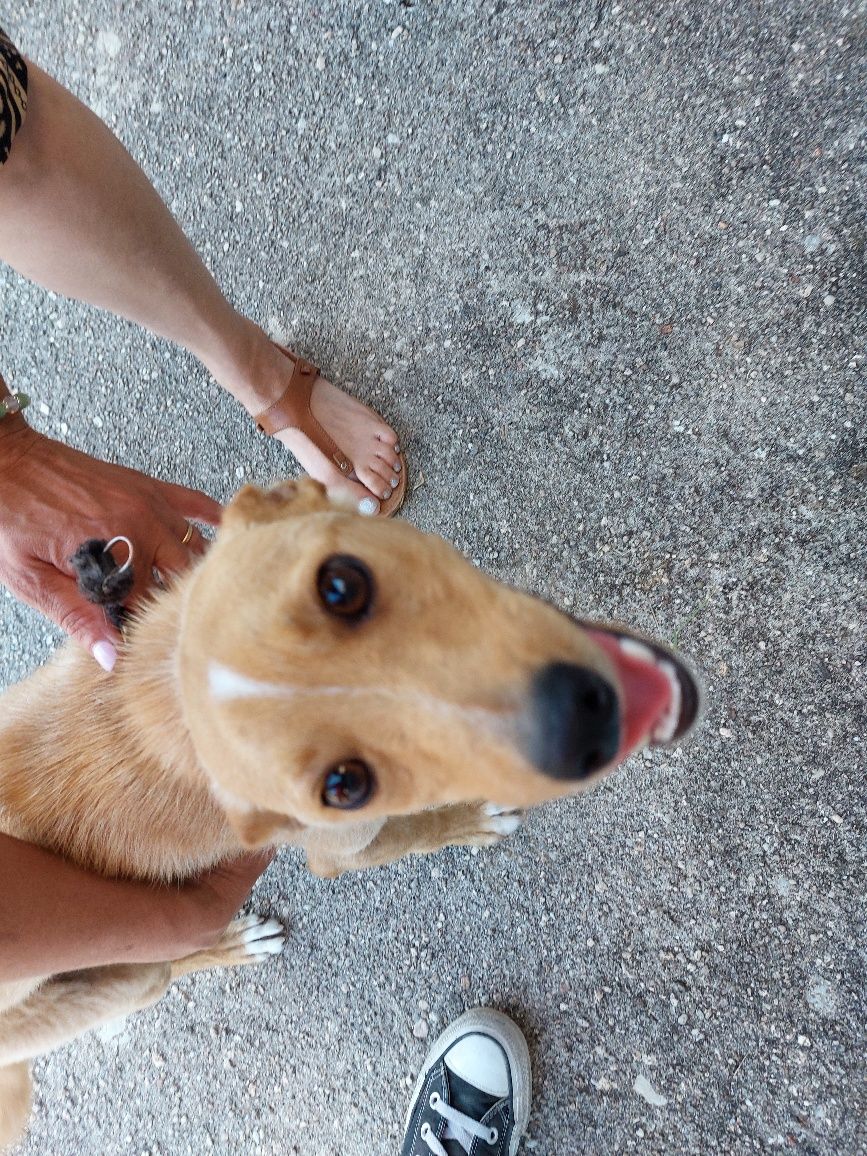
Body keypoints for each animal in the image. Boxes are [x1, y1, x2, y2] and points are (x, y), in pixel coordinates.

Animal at [0, 473, 702, 1142]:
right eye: (343, 786)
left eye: (341, 586)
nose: (581, 722)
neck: (166, 685)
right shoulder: (340, 849)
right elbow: (423, 826)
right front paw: (475, 818)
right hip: (111, 974)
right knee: (167, 965)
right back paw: (237, 942)